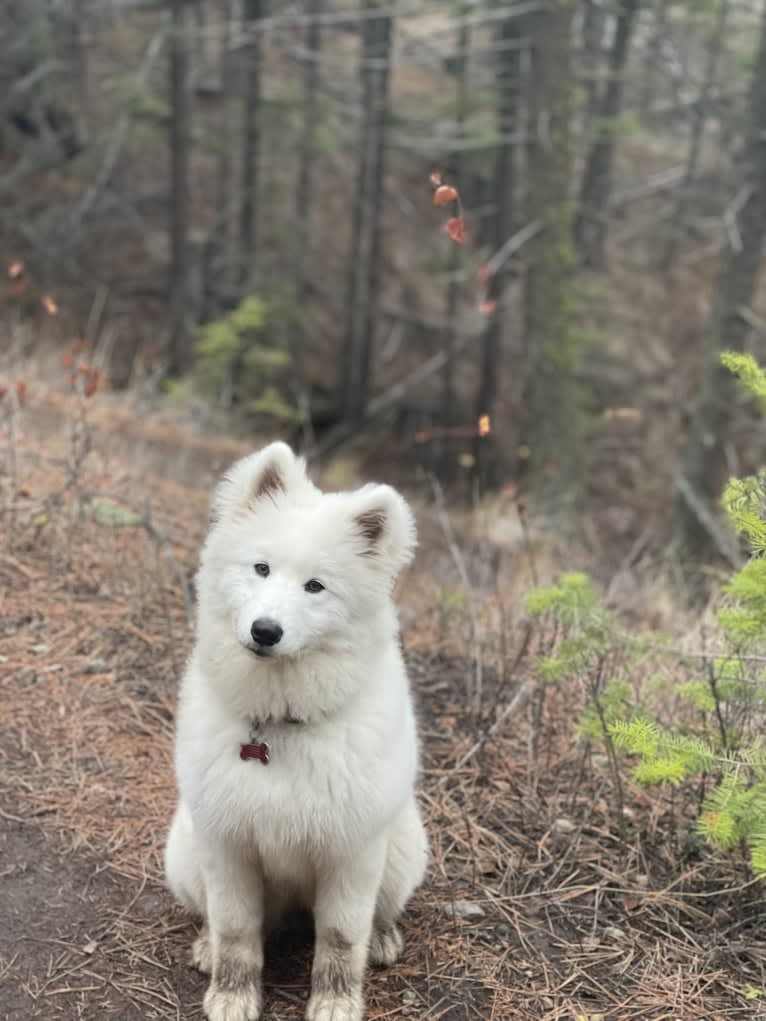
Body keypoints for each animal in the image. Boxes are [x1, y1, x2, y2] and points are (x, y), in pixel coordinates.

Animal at [165, 443, 428, 1021]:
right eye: (261, 568)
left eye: (315, 586)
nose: (266, 631)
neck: (277, 724)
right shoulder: (228, 844)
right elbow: (235, 932)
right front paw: (232, 995)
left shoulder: (351, 855)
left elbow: (341, 940)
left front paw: (335, 1002)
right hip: (185, 853)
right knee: (215, 919)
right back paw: (205, 945)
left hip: (402, 850)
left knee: (377, 916)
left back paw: (383, 938)